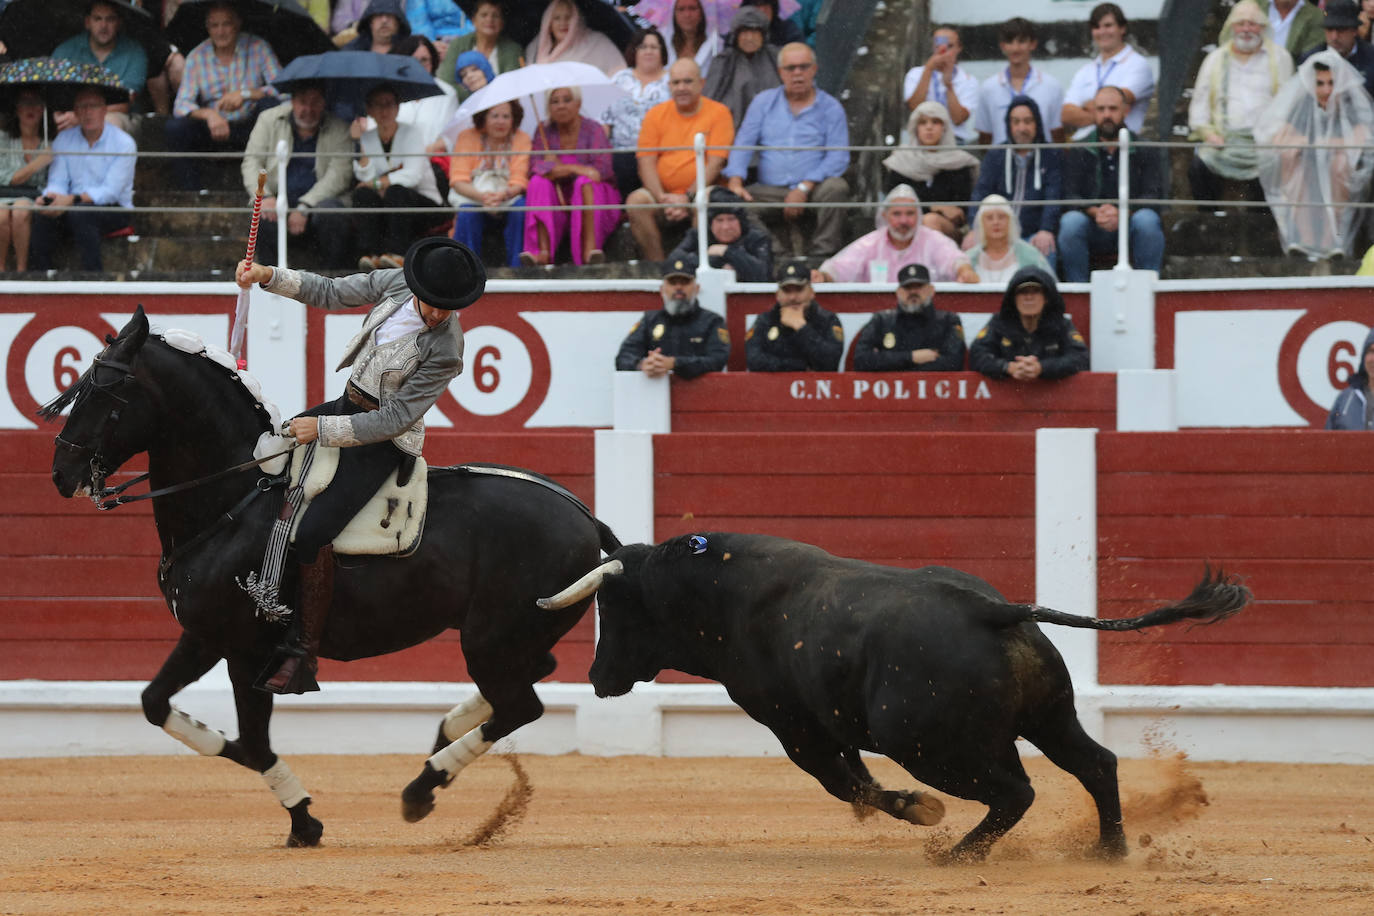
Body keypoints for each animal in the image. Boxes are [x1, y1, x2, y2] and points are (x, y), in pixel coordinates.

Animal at [42, 311, 621, 851]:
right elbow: (158, 703)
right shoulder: (205, 636)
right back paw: (446, 732)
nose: (61, 475)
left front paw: (304, 820)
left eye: (106, 392)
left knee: (521, 704)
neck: (235, 498)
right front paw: (249, 767)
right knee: (529, 678)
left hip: (488, 638)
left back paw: (422, 787)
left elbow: (255, 741)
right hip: (509, 638)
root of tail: (585, 518)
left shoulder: (246, 651)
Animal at [541, 532, 1253, 862]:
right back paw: (1109, 851)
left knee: (1015, 792)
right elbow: (853, 780)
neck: (726, 594)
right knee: (1095, 765)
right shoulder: (823, 726)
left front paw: (917, 811)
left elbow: (845, 782)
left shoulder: (794, 727)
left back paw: (956, 853)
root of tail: (992, 609)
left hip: (926, 744)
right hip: (1047, 718)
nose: (599, 677)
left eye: (615, 606)